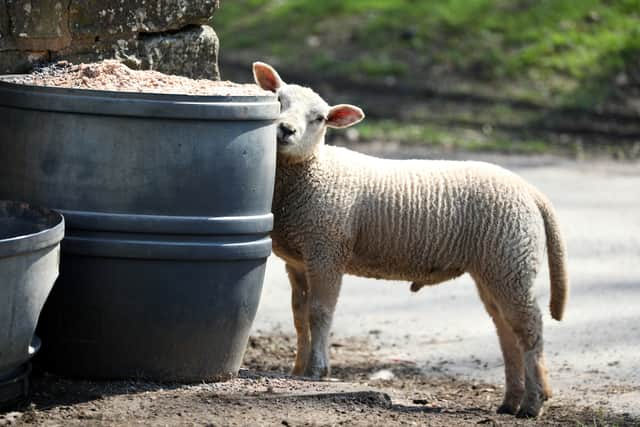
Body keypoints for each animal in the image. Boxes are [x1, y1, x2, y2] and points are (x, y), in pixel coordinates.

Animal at [252, 61, 568, 420]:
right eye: (278, 99)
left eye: (319, 118)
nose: (286, 130)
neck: (312, 170)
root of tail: (530, 191)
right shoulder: (298, 260)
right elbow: (299, 315)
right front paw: (297, 370)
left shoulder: (326, 248)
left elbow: (319, 312)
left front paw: (317, 371)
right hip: (495, 266)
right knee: (506, 330)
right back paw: (510, 401)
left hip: (512, 260)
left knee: (529, 328)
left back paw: (533, 401)